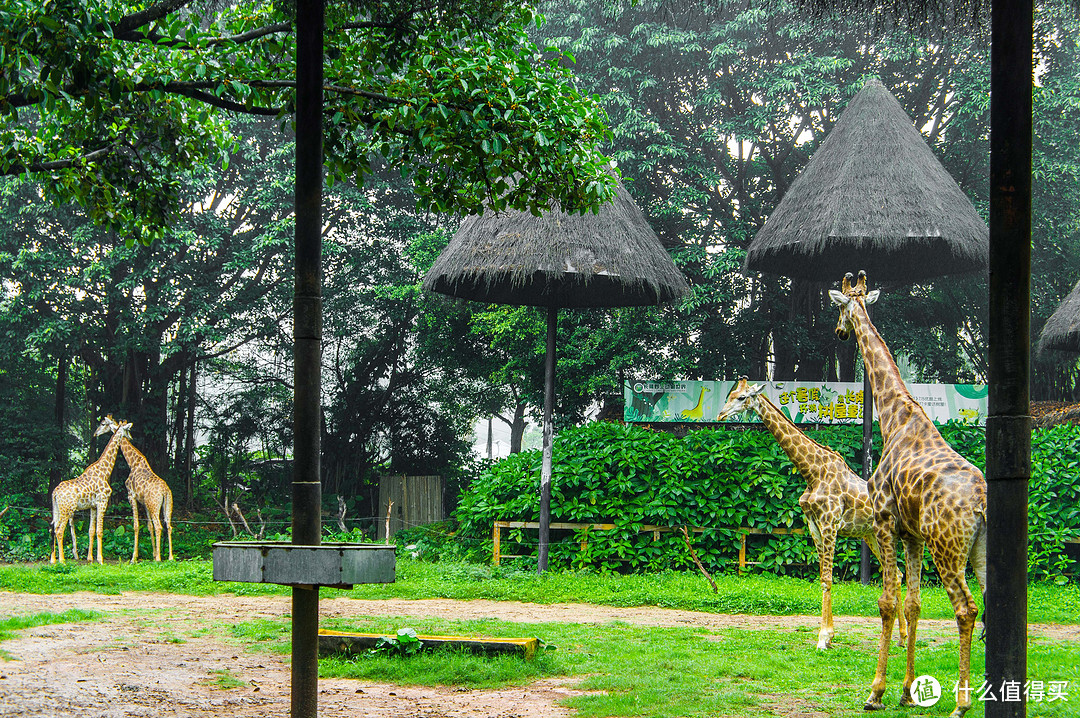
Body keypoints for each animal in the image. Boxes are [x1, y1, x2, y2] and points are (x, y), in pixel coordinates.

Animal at [49, 416, 131, 561]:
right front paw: (100, 559)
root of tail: (55, 492)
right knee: (59, 530)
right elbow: (99, 530)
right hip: (67, 510)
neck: (105, 471)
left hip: (57, 509)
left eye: (102, 424)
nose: (131, 438)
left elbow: (91, 530)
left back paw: (53, 560)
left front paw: (90, 558)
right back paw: (62, 560)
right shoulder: (102, 502)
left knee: (53, 528)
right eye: (128, 429)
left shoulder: (93, 506)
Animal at [104, 414, 176, 561]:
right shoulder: (144, 502)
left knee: (159, 526)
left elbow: (136, 525)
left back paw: (159, 558)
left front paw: (134, 558)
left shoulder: (131, 496)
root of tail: (165, 491)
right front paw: (153, 553)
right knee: (168, 526)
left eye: (106, 424)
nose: (98, 432)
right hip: (166, 505)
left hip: (155, 505)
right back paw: (170, 557)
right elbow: (148, 526)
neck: (133, 462)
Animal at [717, 377, 902, 652]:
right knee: (897, 574)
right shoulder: (814, 525)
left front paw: (823, 638)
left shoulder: (830, 524)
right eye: (729, 395)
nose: (720, 415)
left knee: (898, 574)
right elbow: (822, 578)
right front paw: (829, 635)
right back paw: (902, 637)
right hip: (870, 536)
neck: (811, 472)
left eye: (741, 398)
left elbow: (827, 577)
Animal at [829, 269, 989, 716]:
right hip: (978, 550)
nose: (840, 332)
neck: (894, 417)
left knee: (966, 608)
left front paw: (876, 692)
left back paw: (961, 704)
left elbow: (887, 602)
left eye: (838, 307)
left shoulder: (885, 523)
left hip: (947, 548)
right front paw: (906, 689)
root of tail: (982, 504)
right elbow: (914, 604)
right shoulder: (912, 536)